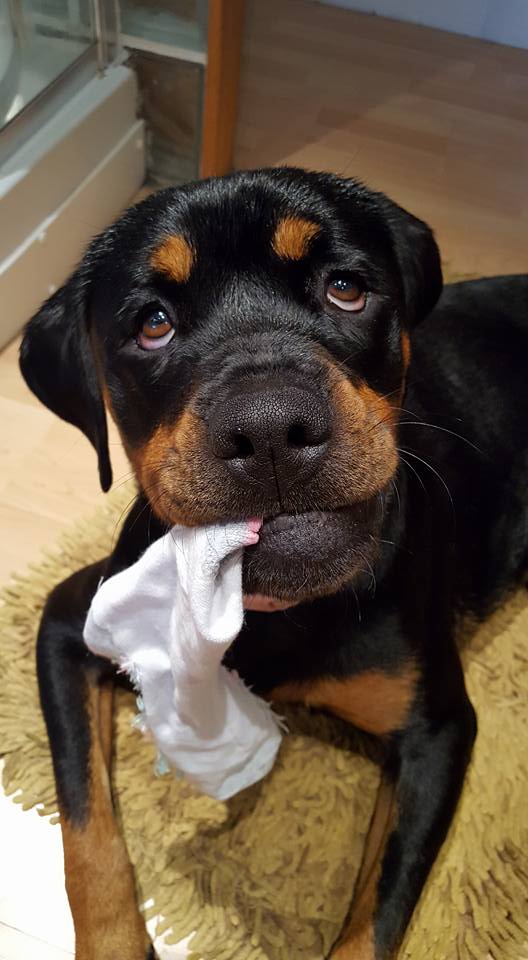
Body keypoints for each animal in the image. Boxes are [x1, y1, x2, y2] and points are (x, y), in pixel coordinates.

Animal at [19, 169, 528, 960]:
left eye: (345, 286)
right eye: (152, 322)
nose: (268, 427)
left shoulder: (436, 729)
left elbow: (374, 921)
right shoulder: (72, 620)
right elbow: (86, 830)